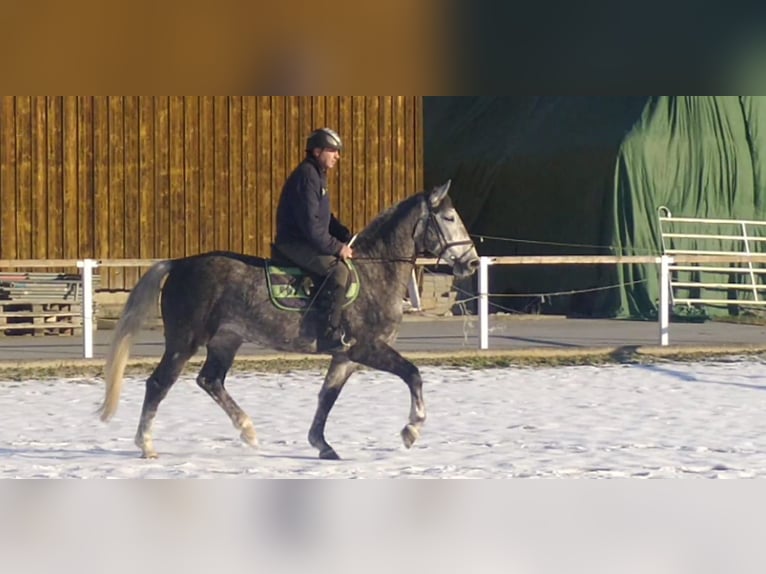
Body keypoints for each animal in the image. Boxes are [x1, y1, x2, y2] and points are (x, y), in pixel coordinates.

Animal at [97, 182, 480, 462]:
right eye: (448, 218)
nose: (472, 263)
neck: (375, 272)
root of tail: (179, 263)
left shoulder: (346, 357)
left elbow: (326, 397)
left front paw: (322, 445)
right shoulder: (367, 348)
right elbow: (413, 374)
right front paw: (411, 430)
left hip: (226, 340)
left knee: (211, 381)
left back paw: (248, 431)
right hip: (183, 341)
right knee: (159, 384)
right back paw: (147, 445)